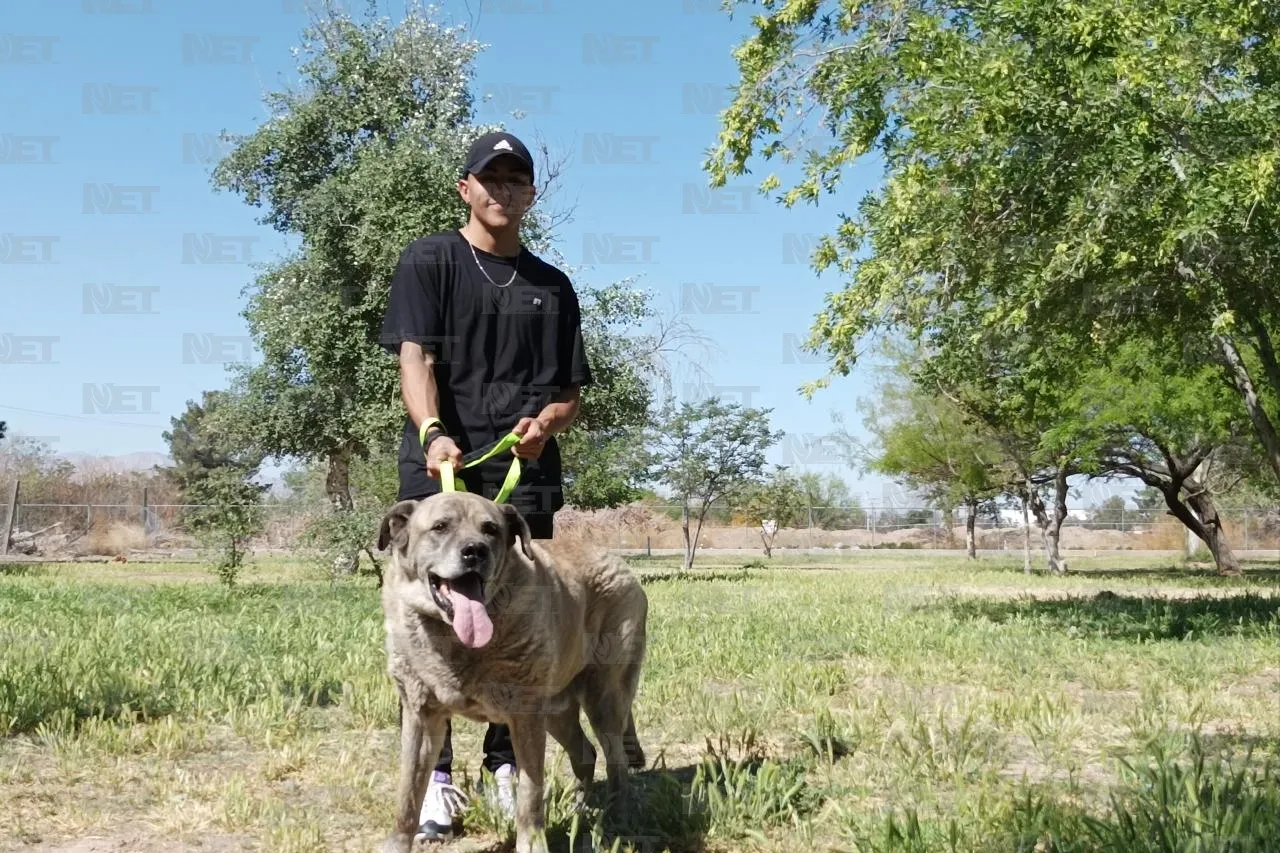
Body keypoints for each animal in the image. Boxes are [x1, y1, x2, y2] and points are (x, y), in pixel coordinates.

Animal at [373, 491, 645, 850]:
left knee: (617, 760)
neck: (454, 641)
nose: (475, 551)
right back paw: (580, 809)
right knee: (585, 754)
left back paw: (618, 815)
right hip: (557, 710)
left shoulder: (525, 717)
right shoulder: (420, 715)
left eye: (490, 529)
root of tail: (620, 562)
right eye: (440, 527)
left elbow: (530, 795)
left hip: (603, 699)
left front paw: (532, 843)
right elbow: (407, 794)